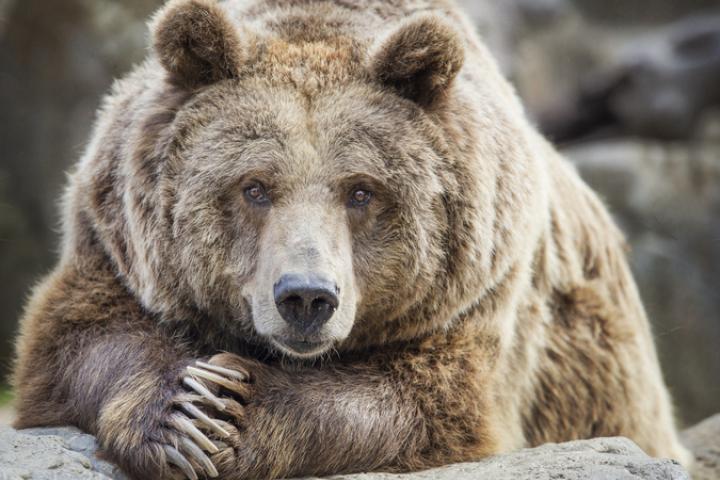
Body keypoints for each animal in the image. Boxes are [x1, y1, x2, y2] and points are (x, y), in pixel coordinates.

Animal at [12, 0, 692, 479]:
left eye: (361, 191)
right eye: (255, 186)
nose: (307, 298)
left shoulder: (479, 287)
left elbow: (419, 401)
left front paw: (239, 412)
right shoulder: (113, 240)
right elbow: (79, 338)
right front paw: (189, 416)